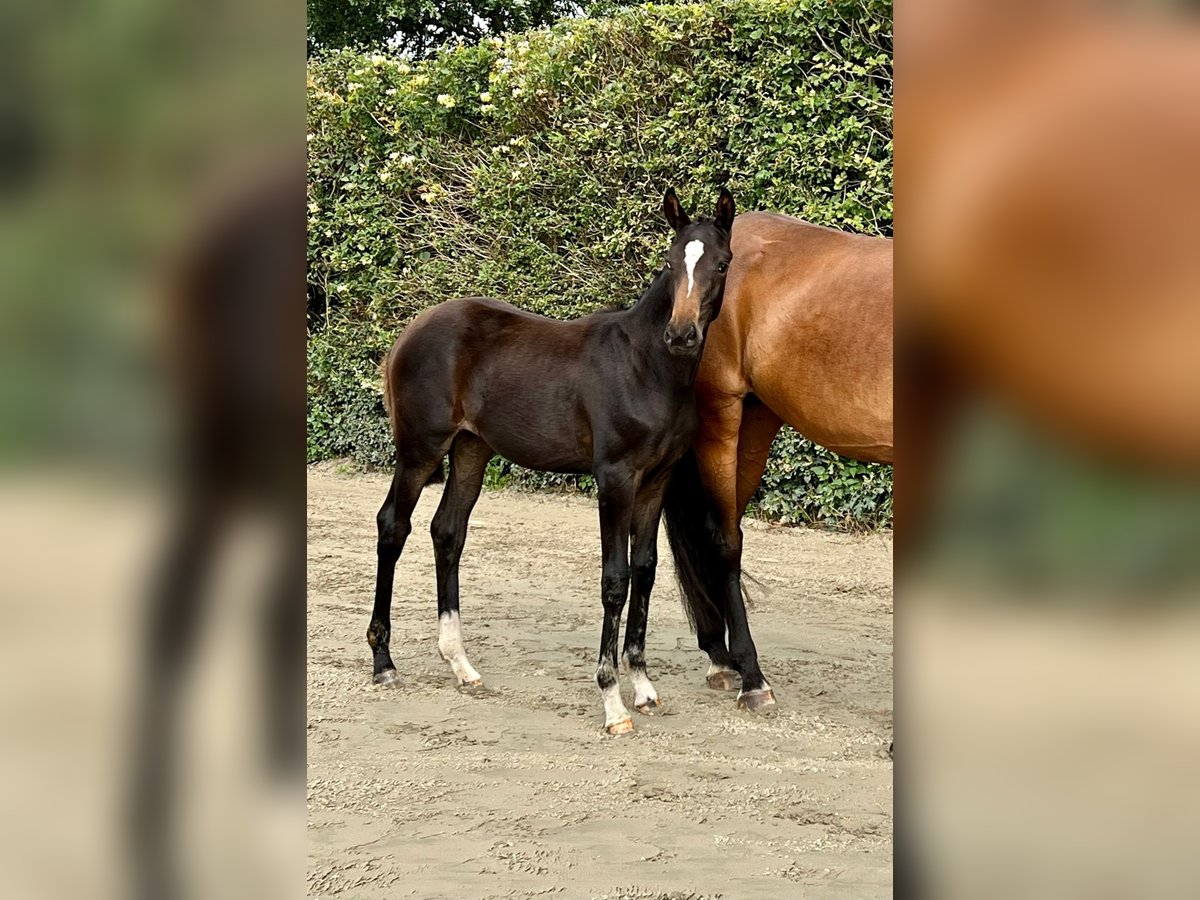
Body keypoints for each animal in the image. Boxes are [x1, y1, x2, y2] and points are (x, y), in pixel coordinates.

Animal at [369, 187, 734, 734]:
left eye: (721, 263)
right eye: (670, 262)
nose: (681, 335)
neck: (647, 367)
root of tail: (410, 331)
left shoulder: (656, 481)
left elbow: (646, 571)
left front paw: (644, 688)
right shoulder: (615, 479)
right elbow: (615, 579)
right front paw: (612, 702)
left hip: (471, 449)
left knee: (448, 532)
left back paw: (461, 664)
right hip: (419, 449)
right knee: (393, 525)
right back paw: (384, 662)